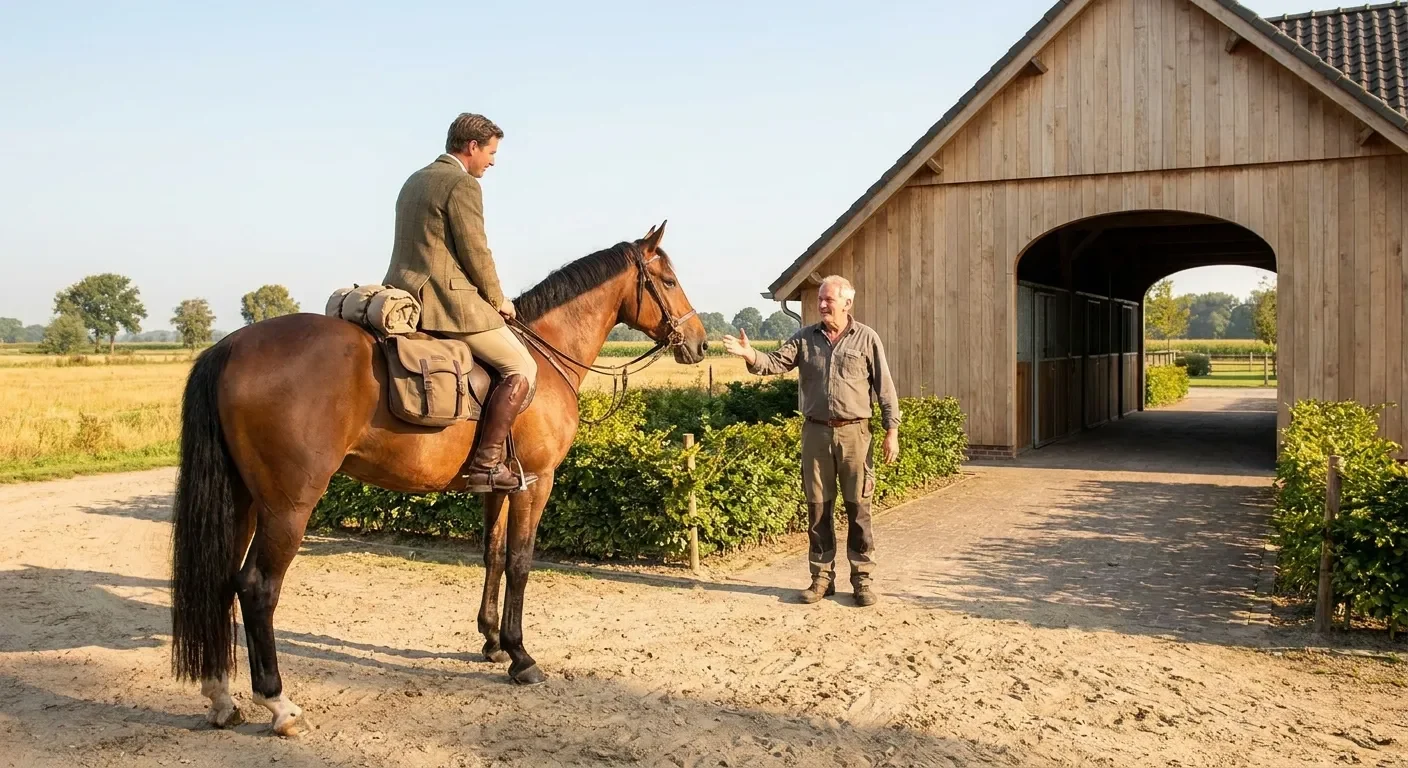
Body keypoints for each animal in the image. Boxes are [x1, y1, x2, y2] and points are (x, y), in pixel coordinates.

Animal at [168, 222, 708, 736]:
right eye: (668, 280)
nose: (700, 343)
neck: (545, 356)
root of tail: (231, 345)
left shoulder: (499, 487)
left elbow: (493, 555)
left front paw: (492, 642)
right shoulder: (537, 482)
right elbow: (520, 562)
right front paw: (520, 655)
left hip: (243, 499)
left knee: (221, 580)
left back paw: (221, 696)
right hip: (288, 507)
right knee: (257, 587)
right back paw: (278, 704)